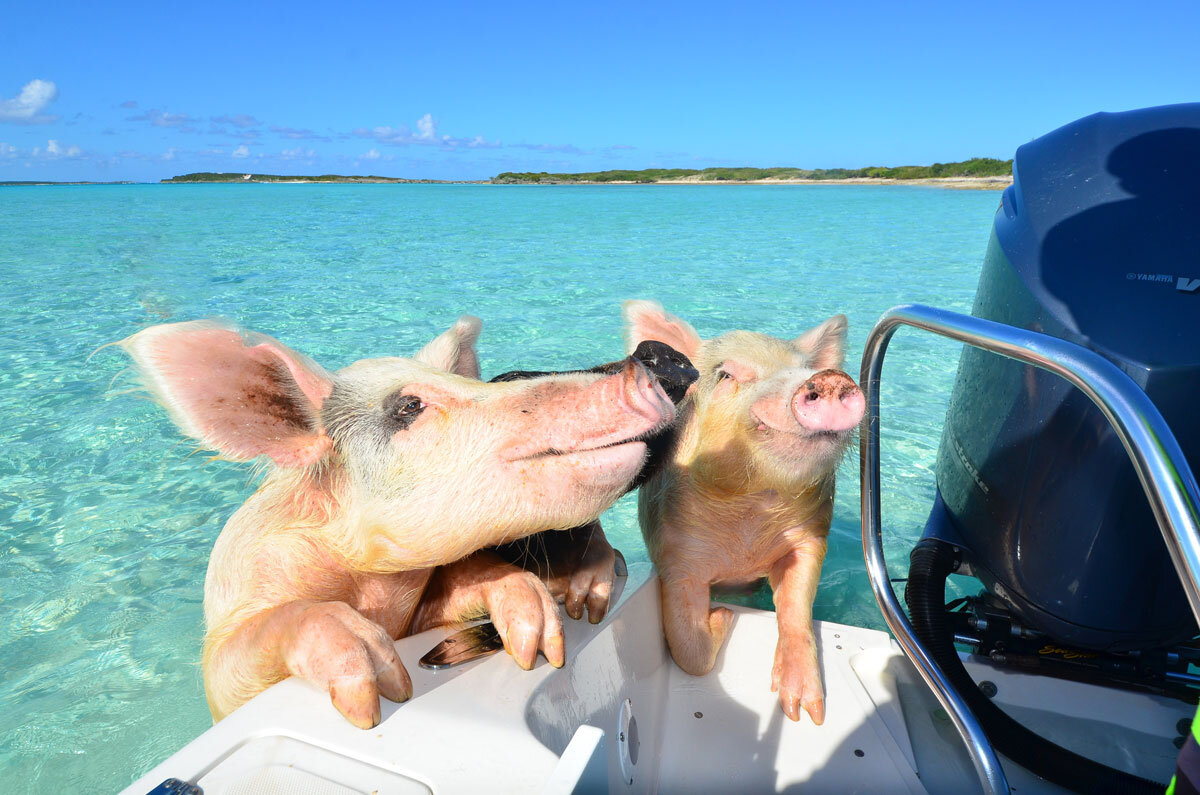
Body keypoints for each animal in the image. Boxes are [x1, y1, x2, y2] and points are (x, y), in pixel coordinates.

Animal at [119, 317, 676, 730]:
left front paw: (539, 638)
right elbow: (248, 647)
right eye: (409, 405)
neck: (372, 587)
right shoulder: (230, 647)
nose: (646, 368)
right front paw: (386, 687)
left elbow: (469, 578)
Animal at [628, 302, 864, 725]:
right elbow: (688, 648)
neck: (751, 510)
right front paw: (722, 613)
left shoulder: (811, 538)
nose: (828, 379)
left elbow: (796, 608)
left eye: (804, 367)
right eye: (726, 375)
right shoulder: (675, 555)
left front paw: (806, 713)